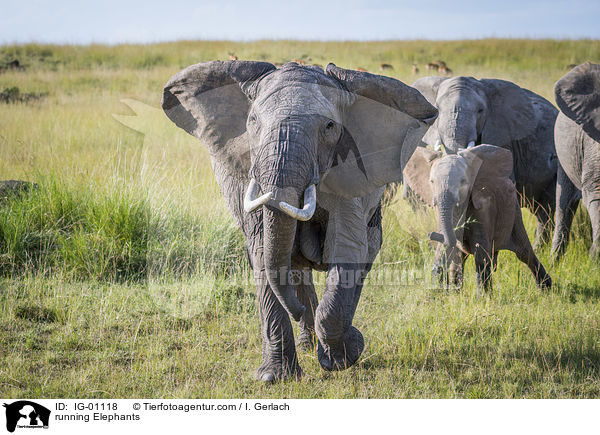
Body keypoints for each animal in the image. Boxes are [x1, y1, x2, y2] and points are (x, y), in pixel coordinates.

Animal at [162, 60, 438, 382]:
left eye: (329, 127)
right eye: (252, 121)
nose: (296, 310)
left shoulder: (347, 170)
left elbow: (347, 249)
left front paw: (346, 354)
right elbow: (262, 254)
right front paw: (274, 377)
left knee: (367, 250)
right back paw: (307, 338)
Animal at [404, 144, 552, 292]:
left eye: (463, 182)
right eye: (432, 181)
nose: (431, 234)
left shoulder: (484, 208)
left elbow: (480, 252)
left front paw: (484, 296)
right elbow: (448, 249)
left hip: (514, 213)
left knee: (525, 253)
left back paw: (546, 289)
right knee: (460, 259)